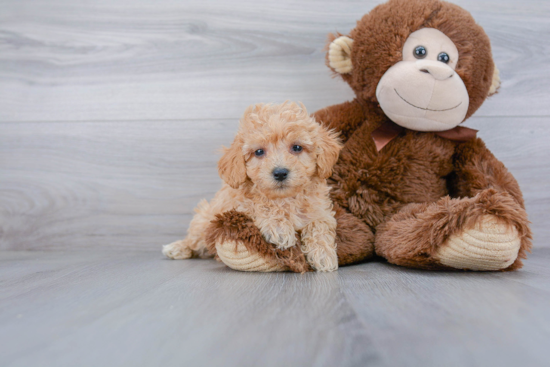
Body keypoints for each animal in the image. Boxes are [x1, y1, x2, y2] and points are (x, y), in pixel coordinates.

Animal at [164, 102, 342, 272]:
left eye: (297, 147)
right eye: (259, 152)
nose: (280, 173)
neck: (284, 199)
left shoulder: (320, 211)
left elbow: (319, 225)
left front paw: (324, 255)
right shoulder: (237, 206)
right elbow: (259, 205)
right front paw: (280, 228)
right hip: (204, 219)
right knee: (195, 240)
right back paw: (177, 248)